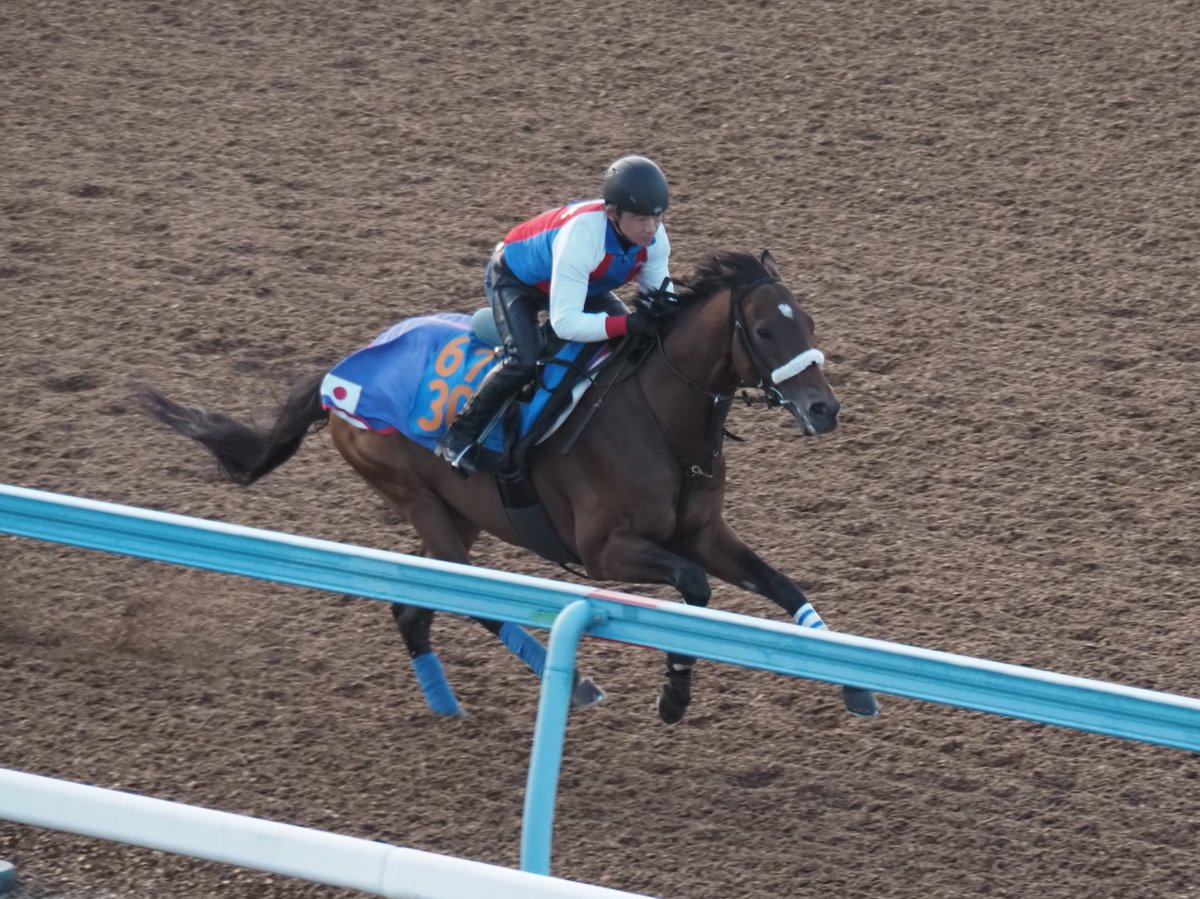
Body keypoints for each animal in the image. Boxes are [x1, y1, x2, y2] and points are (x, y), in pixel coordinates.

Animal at [140, 249, 880, 723]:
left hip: (455, 515)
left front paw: (858, 689)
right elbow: (695, 592)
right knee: (470, 598)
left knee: (413, 608)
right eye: (764, 328)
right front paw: (674, 696)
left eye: (807, 322)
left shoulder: (704, 534)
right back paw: (576, 687)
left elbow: (783, 584)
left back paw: (447, 705)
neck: (659, 420)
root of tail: (337, 374)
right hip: (416, 499)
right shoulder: (605, 550)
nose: (824, 409)